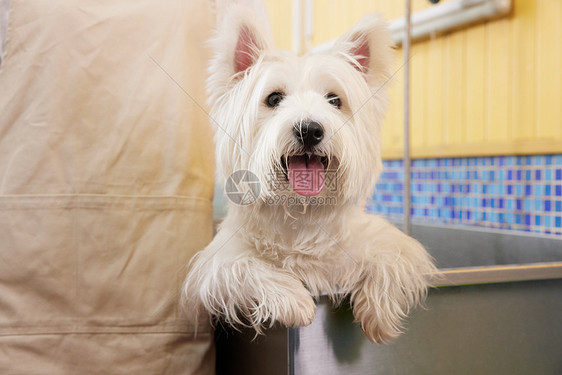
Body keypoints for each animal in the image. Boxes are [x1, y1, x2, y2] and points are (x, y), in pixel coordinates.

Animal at [182, 5, 436, 346]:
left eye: (334, 100)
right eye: (274, 99)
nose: (310, 130)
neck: (301, 214)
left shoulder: (390, 243)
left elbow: (391, 258)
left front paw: (378, 314)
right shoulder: (213, 266)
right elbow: (244, 267)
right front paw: (294, 300)